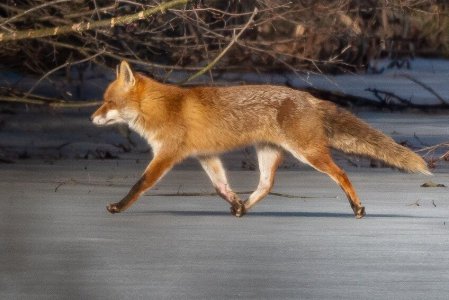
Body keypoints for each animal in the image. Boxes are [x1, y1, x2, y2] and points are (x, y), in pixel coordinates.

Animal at [89, 61, 428, 219]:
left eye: (108, 102)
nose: (91, 118)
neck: (162, 108)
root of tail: (309, 97)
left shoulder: (166, 155)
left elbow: (140, 184)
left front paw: (118, 207)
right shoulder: (204, 155)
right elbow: (221, 186)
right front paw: (235, 202)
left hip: (308, 153)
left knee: (342, 173)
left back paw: (357, 207)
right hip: (268, 152)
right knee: (266, 185)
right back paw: (245, 207)